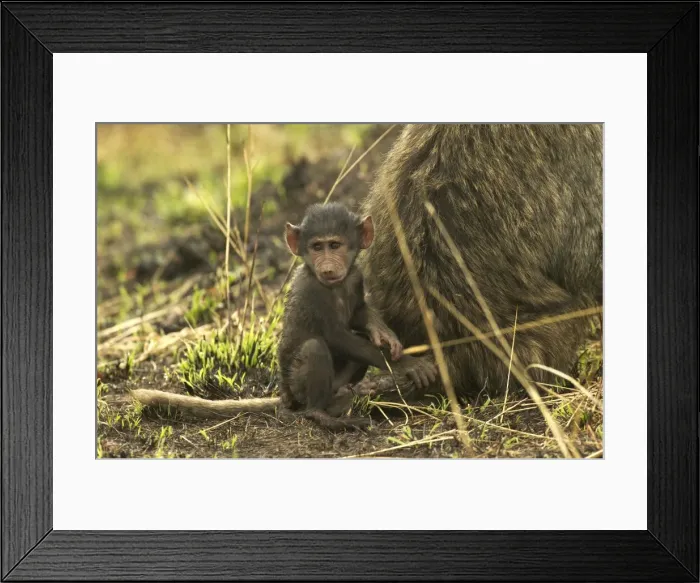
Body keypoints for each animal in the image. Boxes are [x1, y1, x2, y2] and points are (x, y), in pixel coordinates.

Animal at [276, 202, 438, 430]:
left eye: (334, 245)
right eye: (317, 247)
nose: (327, 267)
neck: (336, 286)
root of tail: (285, 397)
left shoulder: (355, 277)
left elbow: (358, 313)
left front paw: (383, 333)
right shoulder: (312, 289)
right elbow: (335, 336)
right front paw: (409, 364)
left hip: (336, 383)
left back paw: (345, 397)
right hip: (296, 388)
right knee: (313, 348)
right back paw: (321, 414)